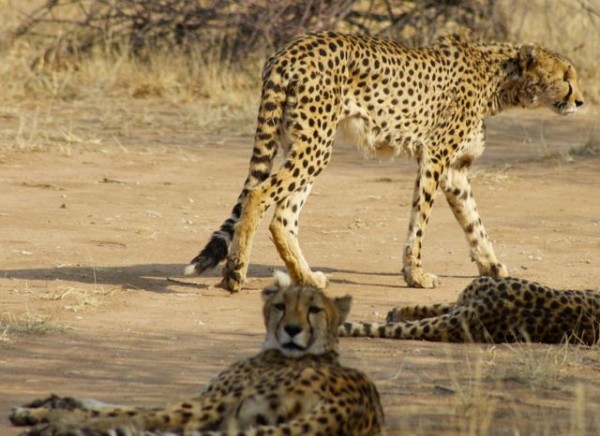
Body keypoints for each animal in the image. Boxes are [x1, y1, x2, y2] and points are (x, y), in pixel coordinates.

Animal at [10, 272, 384, 436]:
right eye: (280, 305)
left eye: (314, 310)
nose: (292, 329)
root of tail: (355, 404)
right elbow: (106, 403)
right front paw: (50, 401)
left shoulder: (213, 400)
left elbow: (127, 409)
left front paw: (44, 410)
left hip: (220, 406)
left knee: (141, 421)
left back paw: (52, 426)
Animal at [186, 30, 580, 292]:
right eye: (565, 78)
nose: (580, 101)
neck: (498, 75)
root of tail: (287, 51)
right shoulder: (435, 156)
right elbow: (420, 222)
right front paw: (416, 275)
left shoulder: (455, 170)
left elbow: (474, 222)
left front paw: (492, 265)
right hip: (315, 145)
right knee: (258, 195)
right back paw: (236, 272)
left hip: (301, 143)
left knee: (282, 216)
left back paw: (306, 277)